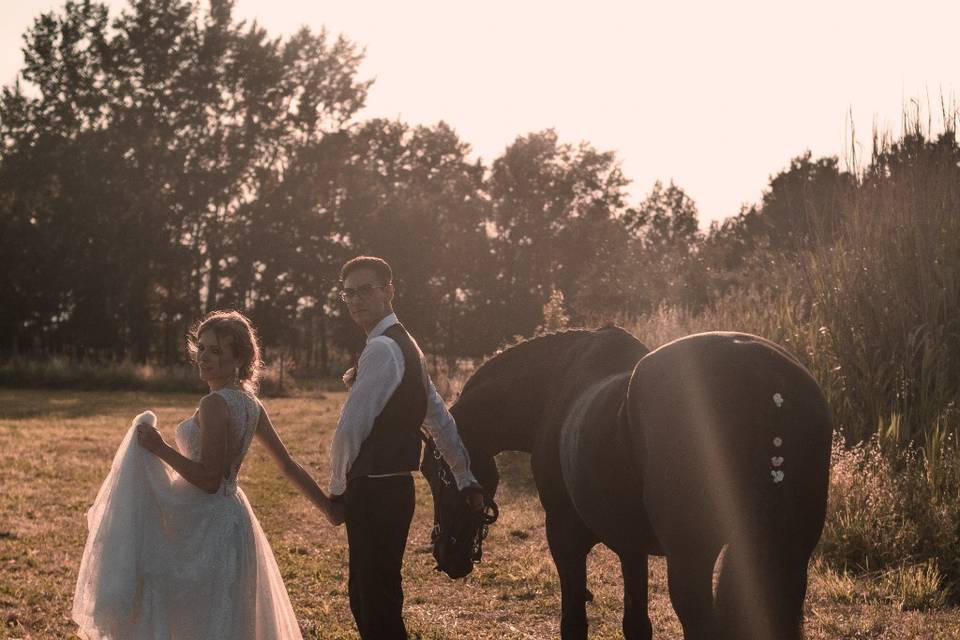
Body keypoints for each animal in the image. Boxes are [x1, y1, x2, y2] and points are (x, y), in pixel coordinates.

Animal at [420, 328, 832, 636]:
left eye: (434, 470)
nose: (445, 553)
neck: (554, 389)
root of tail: (767, 381)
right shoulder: (631, 548)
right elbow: (636, 623)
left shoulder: (564, 537)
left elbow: (574, 621)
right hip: (789, 556)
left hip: (693, 561)